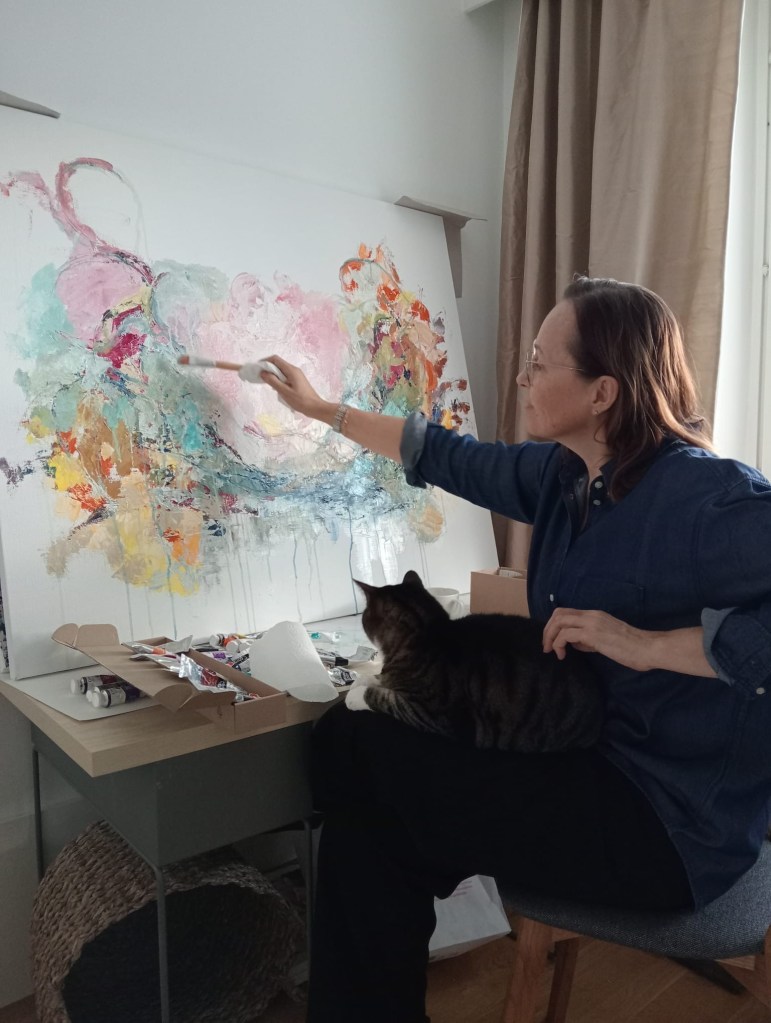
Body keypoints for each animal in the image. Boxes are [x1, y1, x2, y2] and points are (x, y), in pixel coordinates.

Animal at [345, 570, 605, 753]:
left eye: (365, 617)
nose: (361, 618)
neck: (429, 634)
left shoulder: (434, 715)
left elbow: (383, 698)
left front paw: (355, 696)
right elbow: (379, 679)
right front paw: (362, 680)